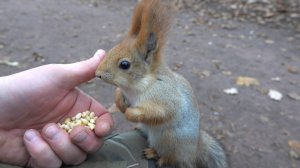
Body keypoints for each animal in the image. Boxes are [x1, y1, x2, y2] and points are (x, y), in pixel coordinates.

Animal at [96, 0, 227, 167]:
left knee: (169, 157)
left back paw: (154, 153)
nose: (97, 74)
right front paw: (120, 103)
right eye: (112, 49)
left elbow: (160, 113)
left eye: (124, 64)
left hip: (169, 139)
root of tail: (194, 149)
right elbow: (118, 93)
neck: (135, 86)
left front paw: (130, 113)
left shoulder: (165, 96)